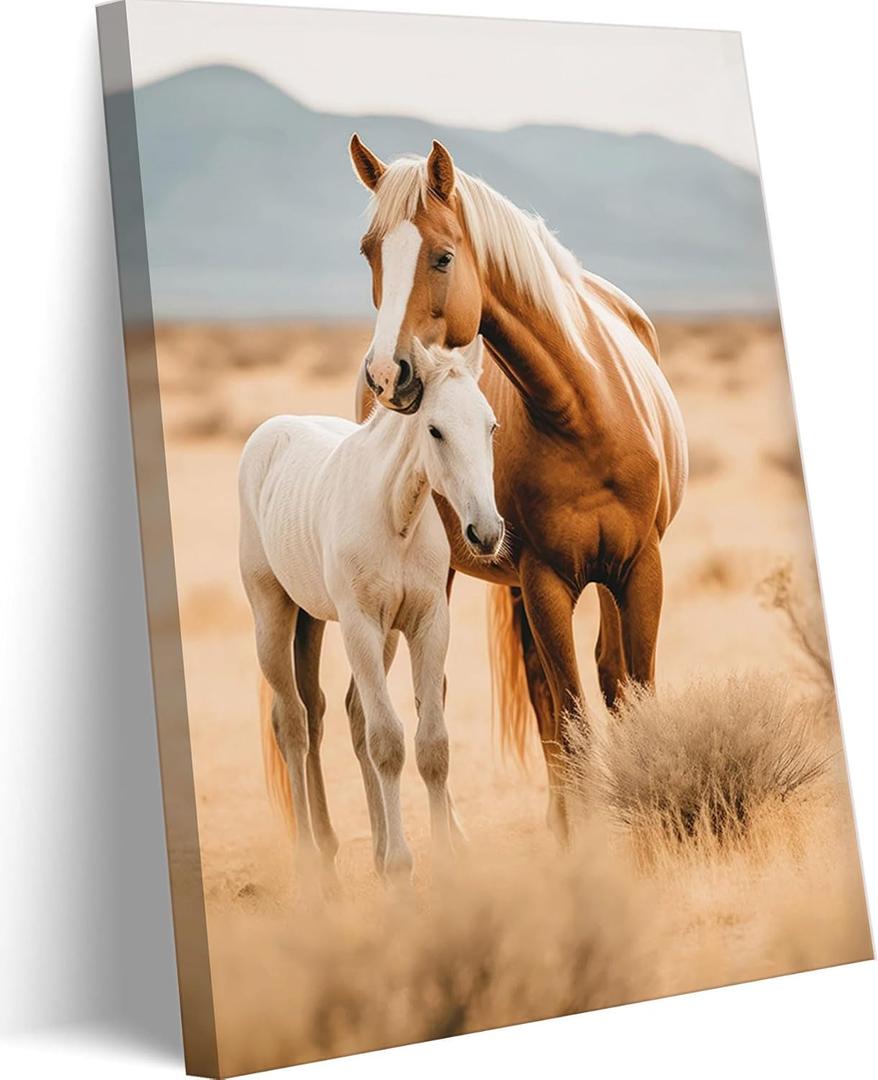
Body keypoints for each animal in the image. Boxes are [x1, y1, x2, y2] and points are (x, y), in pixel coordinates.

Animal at [238, 337, 503, 885]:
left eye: (491, 426)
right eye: (435, 429)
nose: (486, 533)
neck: (395, 517)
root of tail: (270, 432)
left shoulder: (426, 624)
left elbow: (430, 745)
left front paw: (439, 862)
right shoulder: (360, 626)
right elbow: (388, 742)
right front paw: (401, 867)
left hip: (322, 623)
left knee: (330, 714)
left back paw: (342, 853)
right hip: (273, 614)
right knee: (293, 723)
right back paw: (311, 865)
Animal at [348, 135, 688, 843]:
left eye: (443, 255)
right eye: (370, 252)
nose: (387, 376)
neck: (582, 410)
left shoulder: (640, 567)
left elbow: (629, 690)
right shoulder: (545, 580)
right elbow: (570, 714)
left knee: (588, 681)